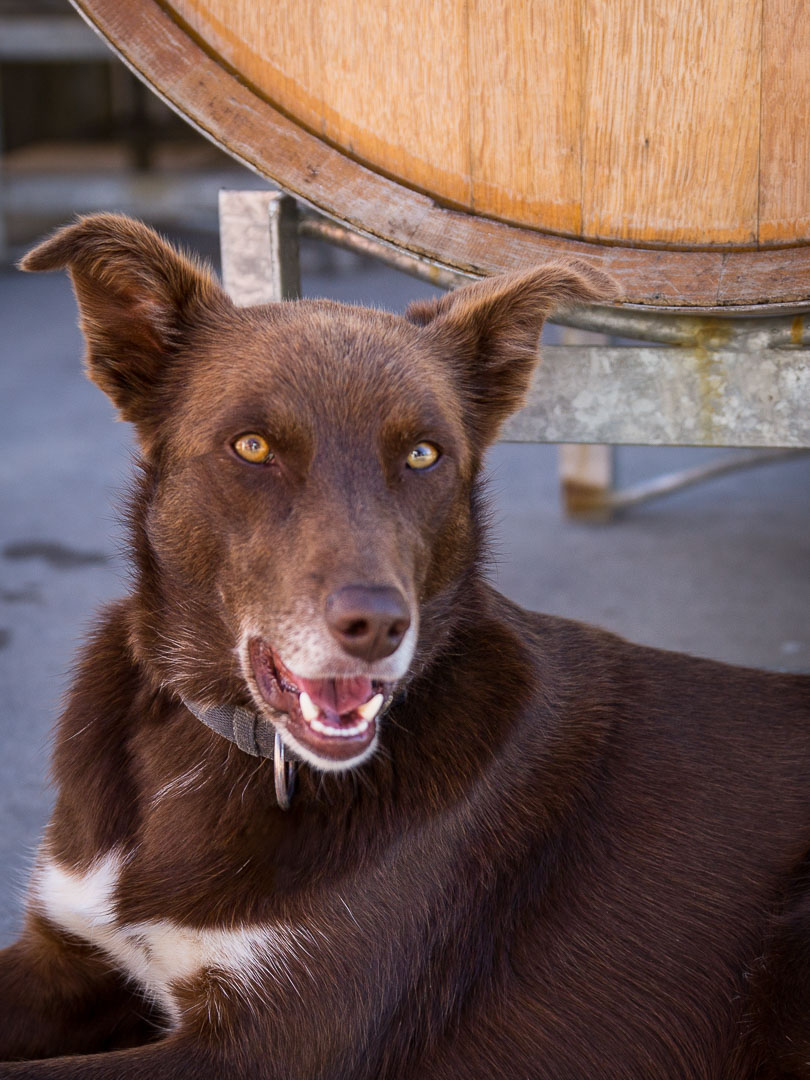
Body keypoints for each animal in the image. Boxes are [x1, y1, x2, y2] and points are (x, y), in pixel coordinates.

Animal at [0, 214, 807, 1075]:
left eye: (423, 454)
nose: (380, 626)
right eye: (252, 447)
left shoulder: (264, 1048)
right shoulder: (63, 955)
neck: (219, 746)